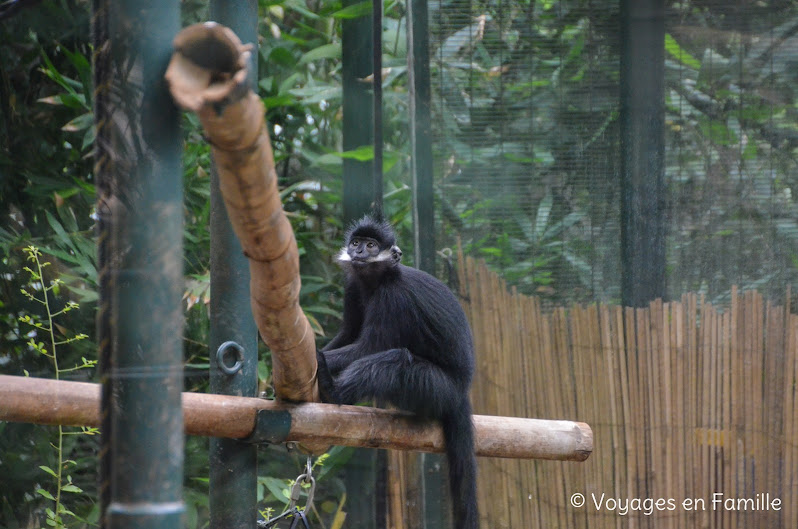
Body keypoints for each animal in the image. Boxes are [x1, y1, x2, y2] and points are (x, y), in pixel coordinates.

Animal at [318, 214, 482, 528]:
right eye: (356, 242)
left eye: (371, 245)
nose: (359, 251)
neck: (378, 279)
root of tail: (462, 391)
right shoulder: (353, 286)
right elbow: (348, 334)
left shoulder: (393, 298)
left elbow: (368, 347)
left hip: (436, 389)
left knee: (396, 360)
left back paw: (332, 391)